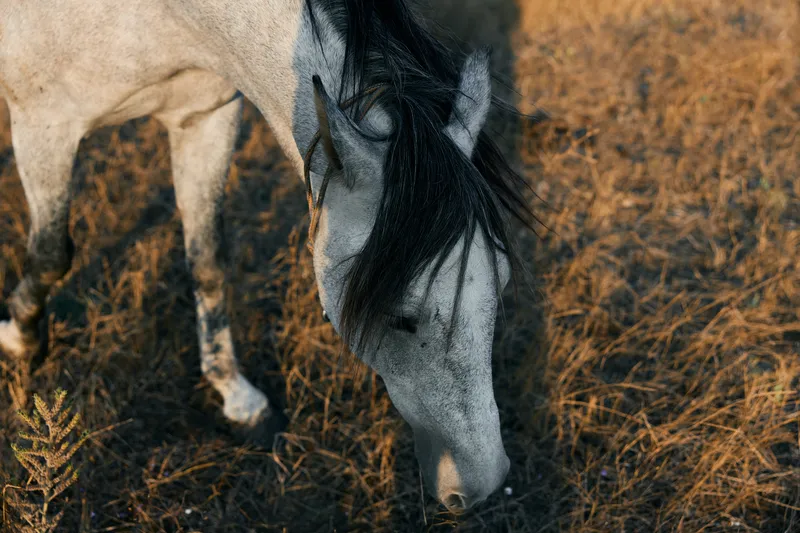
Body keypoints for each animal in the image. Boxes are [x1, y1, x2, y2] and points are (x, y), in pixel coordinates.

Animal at [0, 0, 536, 511]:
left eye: (501, 287)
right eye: (400, 317)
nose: (482, 486)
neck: (161, 17)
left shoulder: (203, 120)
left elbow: (208, 261)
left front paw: (236, 397)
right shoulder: (45, 127)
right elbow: (51, 255)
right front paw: (20, 339)